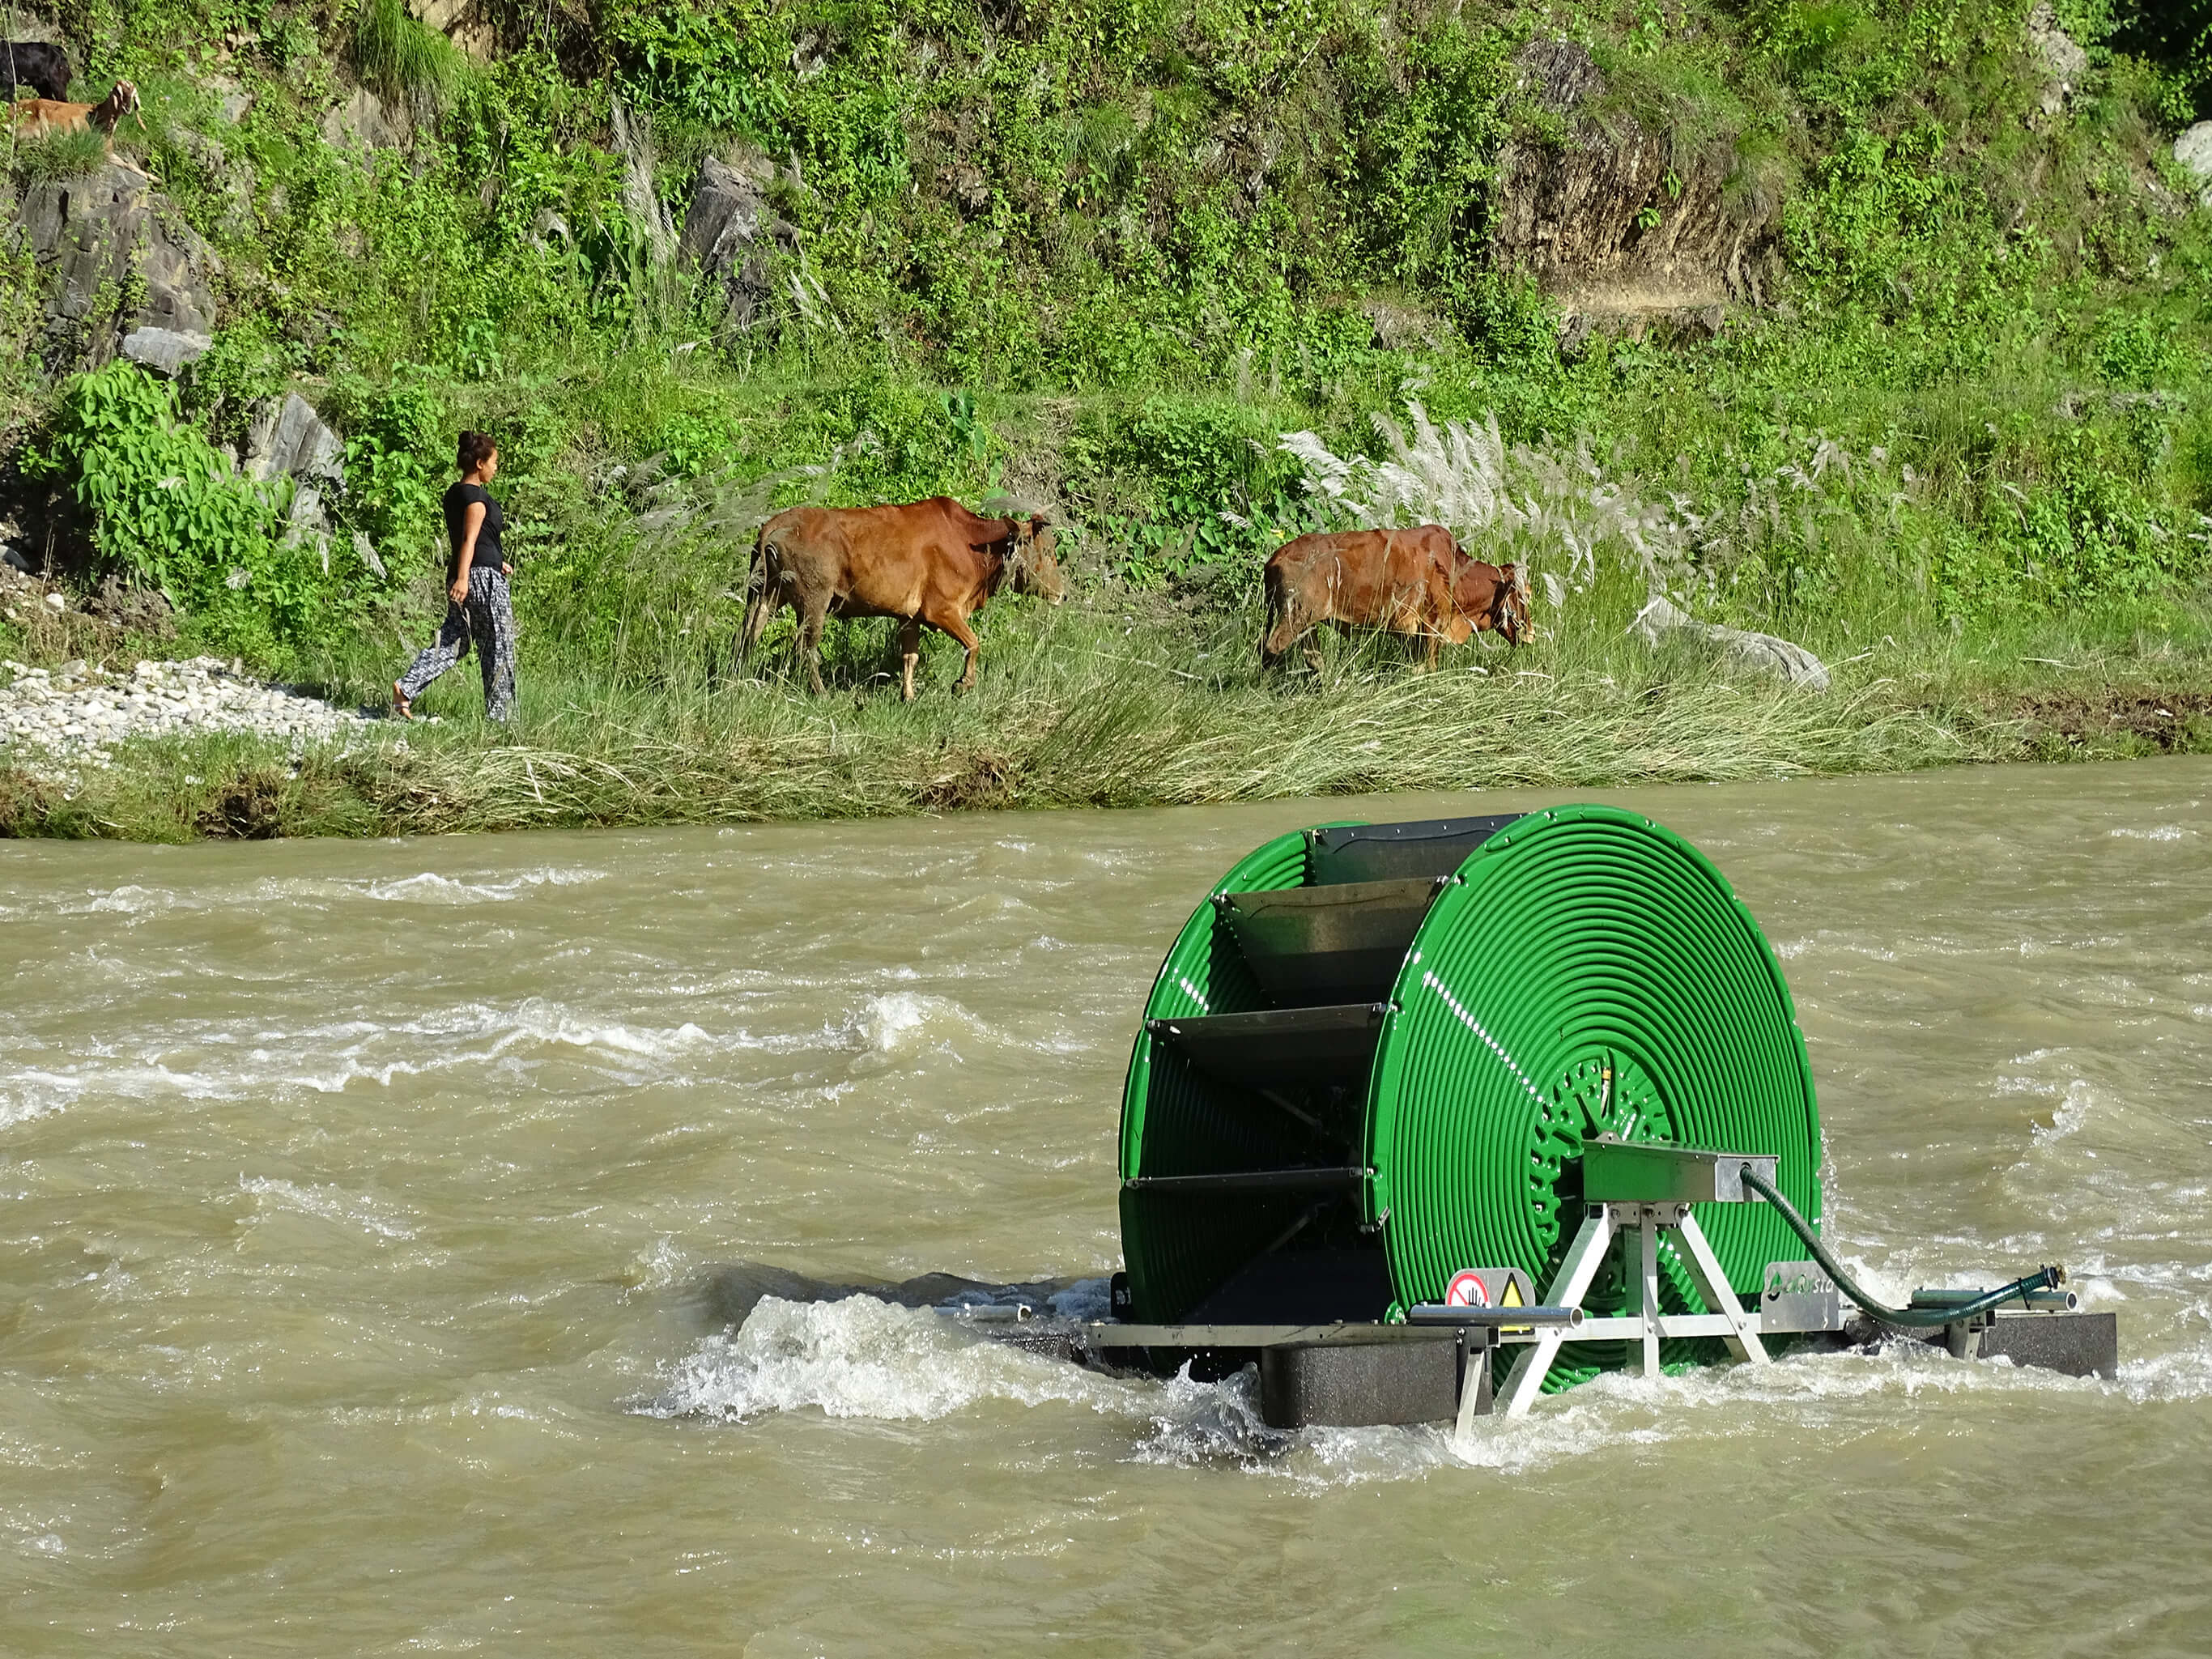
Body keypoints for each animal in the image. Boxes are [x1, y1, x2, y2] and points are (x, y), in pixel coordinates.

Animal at [740, 497, 1065, 700]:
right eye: (1047, 551)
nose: (1062, 594)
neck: (974, 546)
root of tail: (772, 526)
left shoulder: (909, 617)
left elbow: (911, 657)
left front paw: (908, 696)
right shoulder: (941, 610)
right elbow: (974, 644)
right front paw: (962, 684)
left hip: (765, 593)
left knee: (748, 635)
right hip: (814, 599)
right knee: (806, 648)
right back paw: (821, 693)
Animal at [1259, 525, 1530, 674]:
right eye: (1525, 595)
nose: (1531, 633)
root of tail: (1276, 556)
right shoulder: (1431, 627)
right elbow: (1429, 668)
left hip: (1307, 623)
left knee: (1311, 657)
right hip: (1295, 615)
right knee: (1272, 648)